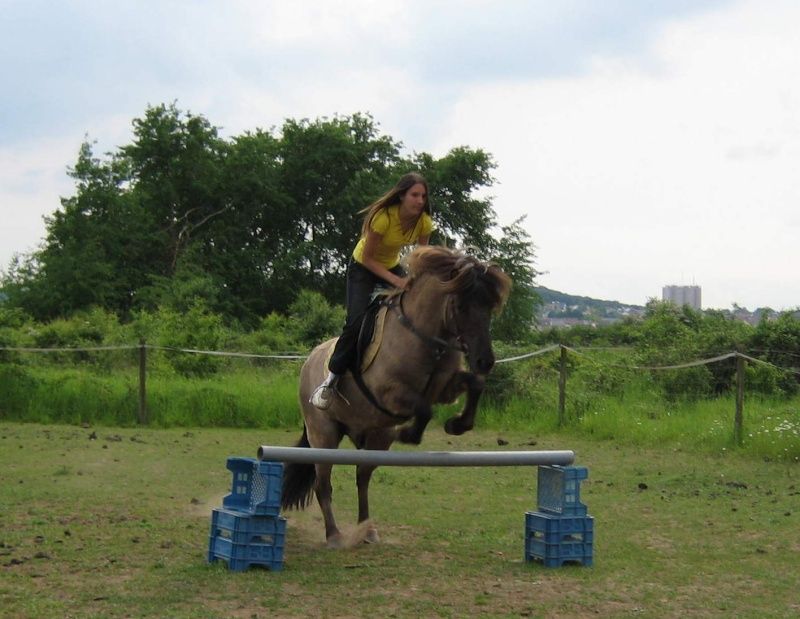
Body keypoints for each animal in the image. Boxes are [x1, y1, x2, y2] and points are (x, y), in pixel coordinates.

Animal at [281, 245, 512, 547]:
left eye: (489, 308)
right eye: (461, 306)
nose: (485, 361)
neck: (424, 336)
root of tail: (309, 360)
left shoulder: (444, 388)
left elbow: (473, 385)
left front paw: (457, 425)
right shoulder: (389, 393)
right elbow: (423, 409)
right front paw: (407, 433)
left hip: (374, 436)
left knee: (362, 477)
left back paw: (367, 530)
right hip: (324, 434)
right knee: (323, 483)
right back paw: (334, 535)